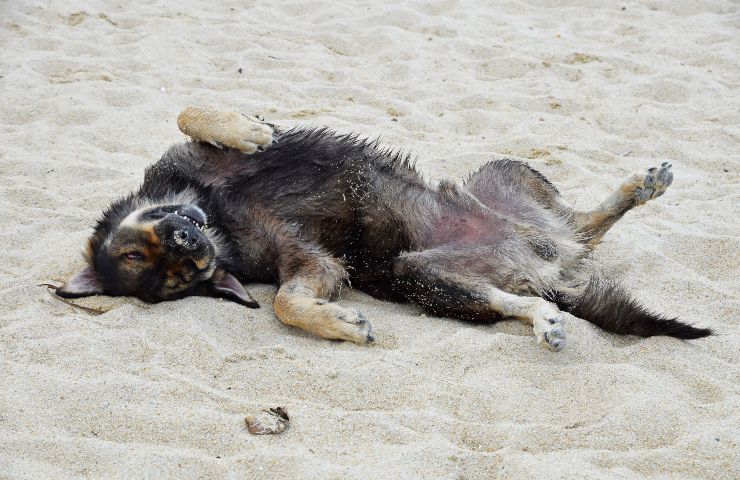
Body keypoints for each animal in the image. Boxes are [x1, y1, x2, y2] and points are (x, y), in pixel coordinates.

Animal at [56, 108, 712, 348]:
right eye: (174, 279)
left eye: (137, 253)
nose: (192, 246)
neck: (214, 212)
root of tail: (554, 261)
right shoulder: (309, 263)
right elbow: (287, 304)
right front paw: (340, 325)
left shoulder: (189, 160)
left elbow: (192, 112)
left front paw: (248, 129)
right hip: (422, 277)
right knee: (521, 293)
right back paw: (543, 318)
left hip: (504, 177)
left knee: (582, 222)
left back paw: (639, 187)